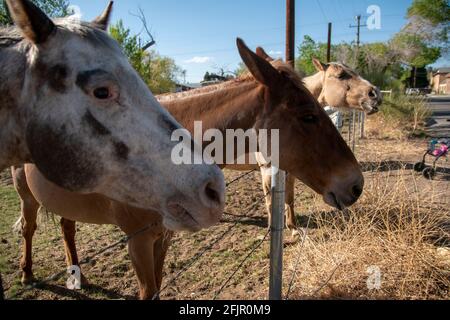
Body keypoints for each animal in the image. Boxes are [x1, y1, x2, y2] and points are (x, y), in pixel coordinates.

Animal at [12, 40, 364, 300]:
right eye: (307, 116)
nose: (355, 184)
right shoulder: (138, 241)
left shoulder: (162, 237)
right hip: (25, 194)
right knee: (29, 228)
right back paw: (27, 273)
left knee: (66, 228)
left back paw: (77, 274)